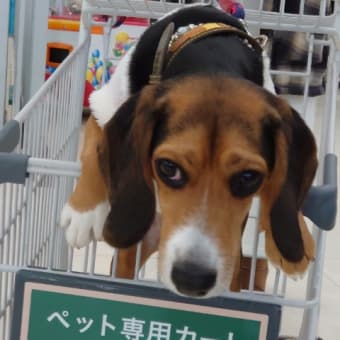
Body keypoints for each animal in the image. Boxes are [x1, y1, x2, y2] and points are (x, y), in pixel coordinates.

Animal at [60, 5, 316, 298]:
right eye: (168, 168)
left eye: (249, 177)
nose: (192, 278)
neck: (212, 57)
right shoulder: (103, 105)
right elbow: (93, 143)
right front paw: (83, 212)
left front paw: (296, 241)